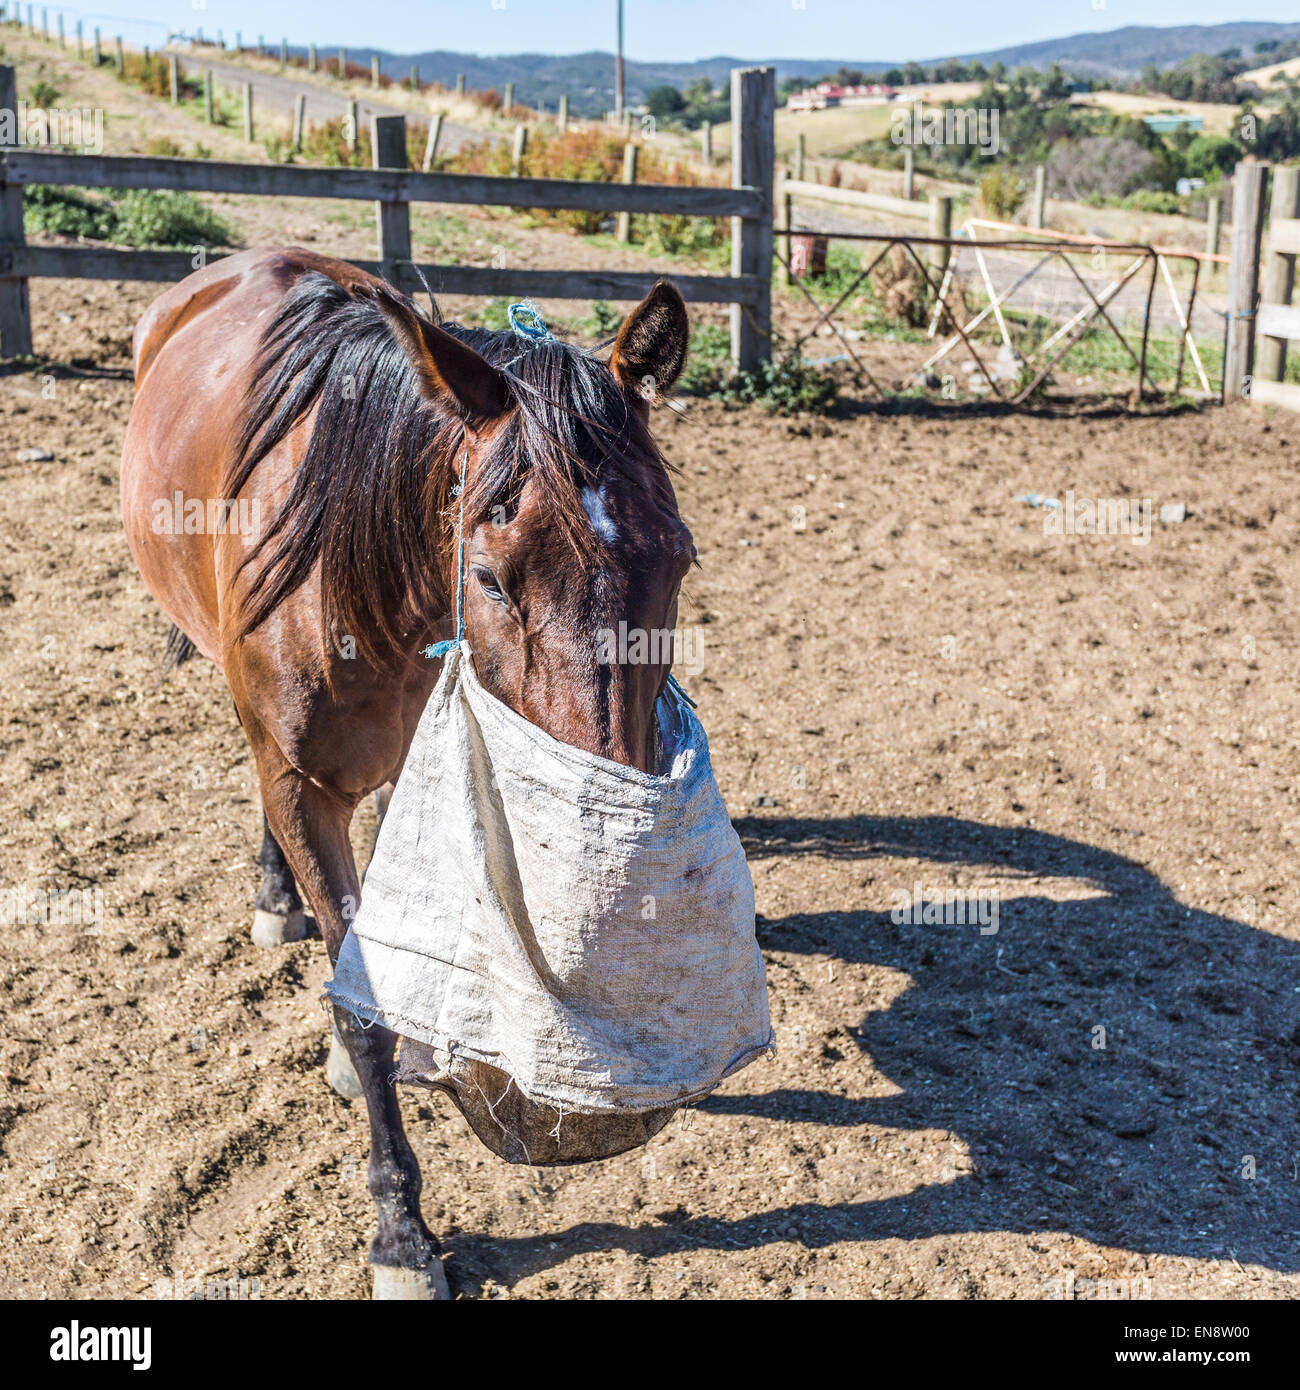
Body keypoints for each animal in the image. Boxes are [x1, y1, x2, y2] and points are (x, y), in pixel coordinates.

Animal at [116, 247, 695, 1289]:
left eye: (678, 563)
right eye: (493, 577)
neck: (355, 588)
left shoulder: (407, 765)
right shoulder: (305, 788)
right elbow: (367, 1011)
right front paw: (400, 1233)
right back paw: (277, 898)